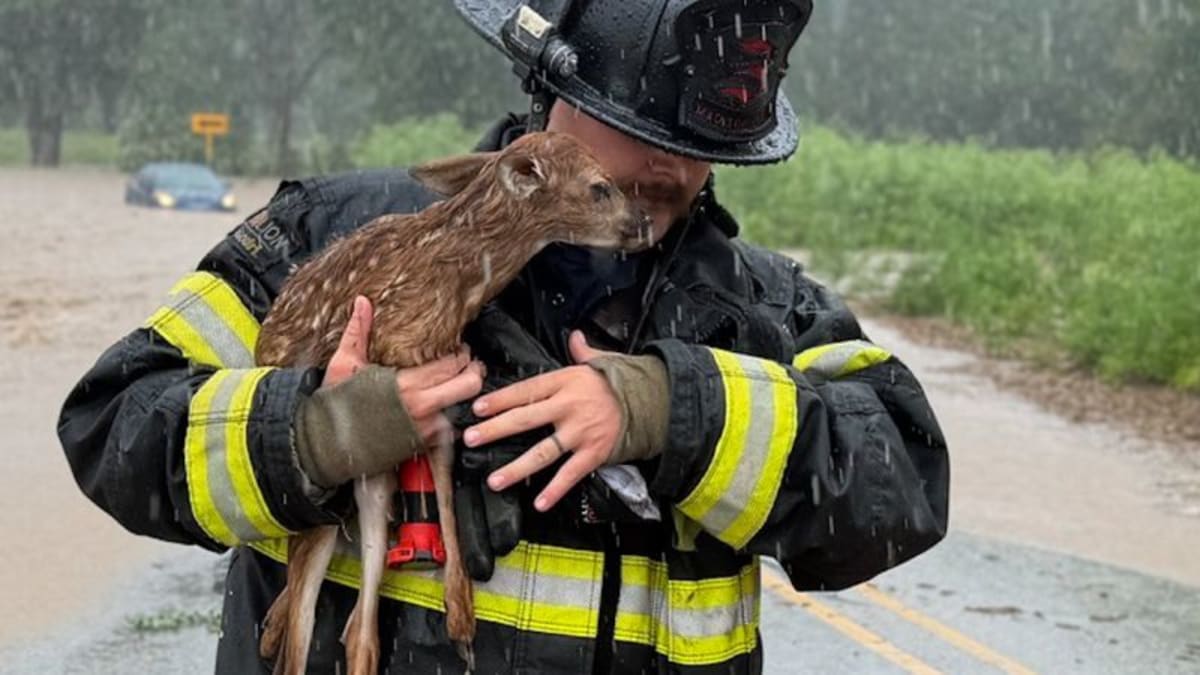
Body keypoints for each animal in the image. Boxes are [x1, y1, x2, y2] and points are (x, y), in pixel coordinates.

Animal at [252, 130, 652, 675]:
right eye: (599, 187)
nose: (645, 223)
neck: (453, 279)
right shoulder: (405, 373)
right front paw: (461, 621)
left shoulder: (444, 386)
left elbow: (444, 480)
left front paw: (462, 619)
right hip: (335, 494)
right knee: (303, 631)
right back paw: (276, 631)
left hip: (371, 485)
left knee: (358, 630)